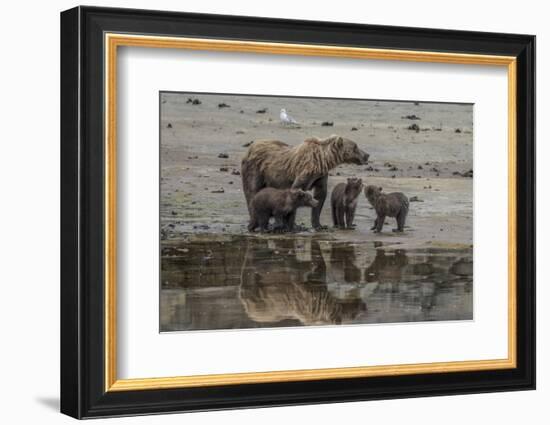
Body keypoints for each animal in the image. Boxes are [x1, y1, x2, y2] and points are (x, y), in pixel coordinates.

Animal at [242, 135, 370, 229]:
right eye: (355, 146)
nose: (367, 155)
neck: (322, 160)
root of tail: (250, 148)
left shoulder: (320, 177)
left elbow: (320, 195)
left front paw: (319, 225)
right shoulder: (305, 172)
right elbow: (297, 191)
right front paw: (292, 225)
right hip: (255, 169)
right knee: (252, 192)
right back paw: (256, 221)